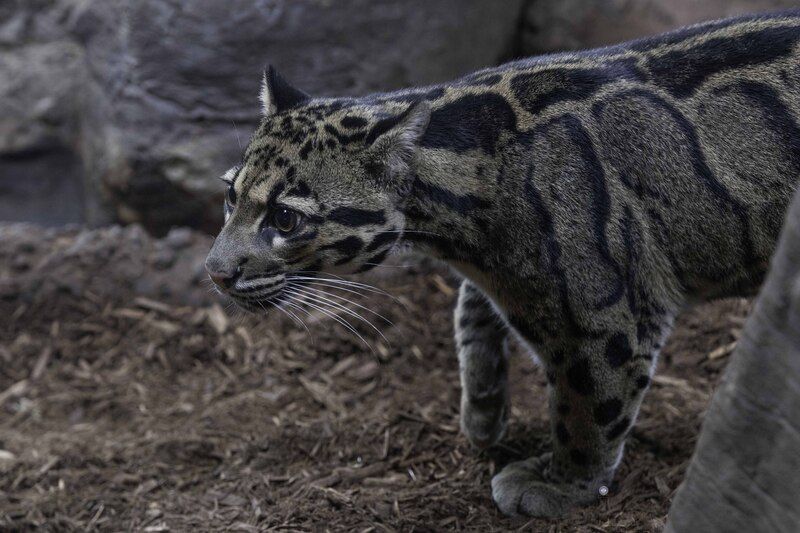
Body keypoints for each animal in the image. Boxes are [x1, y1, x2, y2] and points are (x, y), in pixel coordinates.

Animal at [204, 10, 800, 517]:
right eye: (231, 195)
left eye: (285, 219)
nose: (214, 271)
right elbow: (471, 311)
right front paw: (484, 406)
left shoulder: (605, 319)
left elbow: (589, 404)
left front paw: (563, 483)